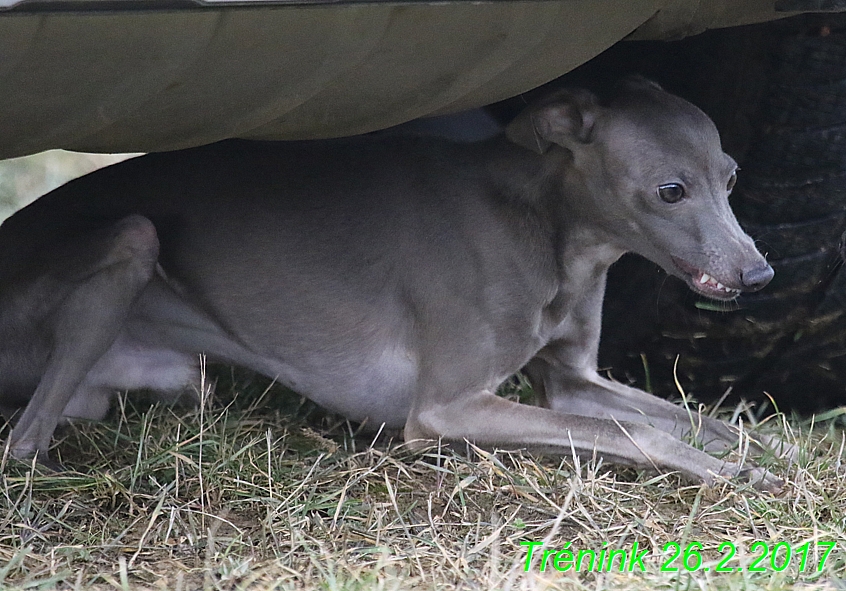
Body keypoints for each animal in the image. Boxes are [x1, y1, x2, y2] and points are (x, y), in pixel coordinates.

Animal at [0, 80, 788, 490]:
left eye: (732, 177)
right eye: (669, 191)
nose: (759, 275)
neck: (546, 224)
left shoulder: (573, 380)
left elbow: (703, 421)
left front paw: (774, 453)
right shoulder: (445, 408)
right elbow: (634, 432)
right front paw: (737, 477)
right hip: (130, 241)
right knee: (21, 444)